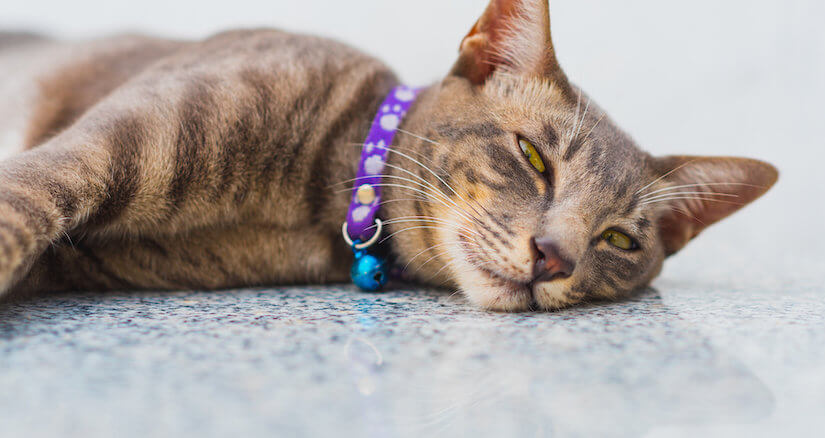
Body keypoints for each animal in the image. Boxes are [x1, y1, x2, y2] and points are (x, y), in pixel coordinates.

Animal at [0, 0, 776, 312]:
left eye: (618, 240)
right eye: (532, 157)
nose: (553, 257)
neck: (317, 196)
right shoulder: (110, 141)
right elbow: (24, 205)